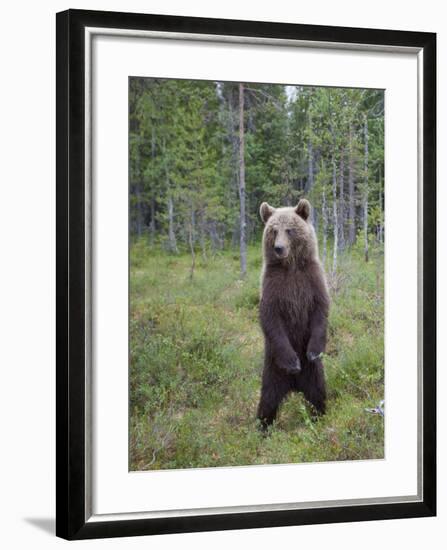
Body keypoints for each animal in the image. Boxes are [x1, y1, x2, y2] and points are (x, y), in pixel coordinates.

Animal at [256, 198, 328, 432]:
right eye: (273, 230)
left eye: (289, 229)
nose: (279, 248)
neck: (291, 267)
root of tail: (295, 386)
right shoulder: (273, 285)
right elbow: (270, 318)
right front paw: (293, 361)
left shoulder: (312, 279)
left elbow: (321, 310)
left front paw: (314, 351)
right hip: (272, 368)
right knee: (268, 400)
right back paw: (262, 428)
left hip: (314, 373)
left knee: (317, 394)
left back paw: (320, 417)